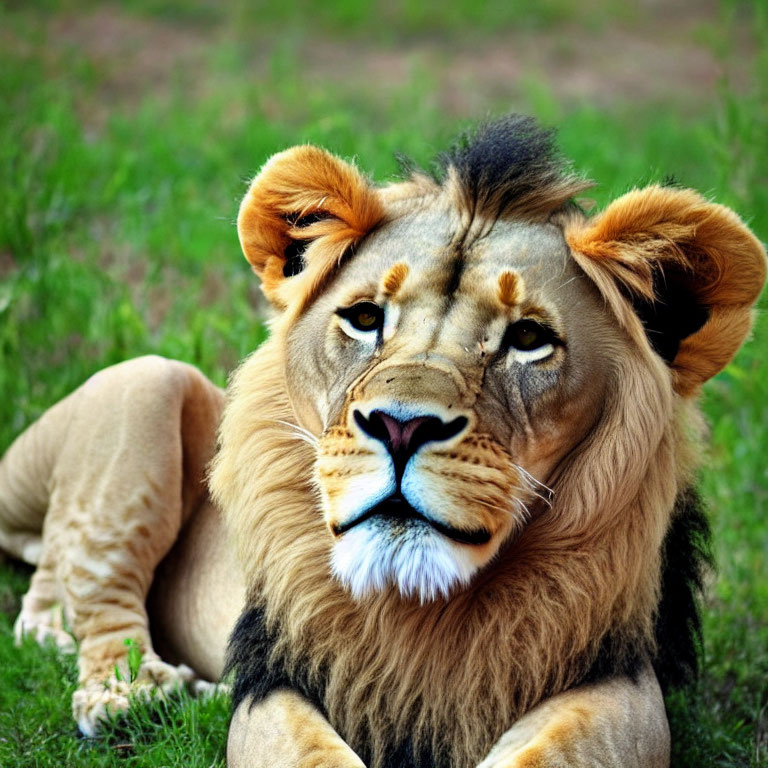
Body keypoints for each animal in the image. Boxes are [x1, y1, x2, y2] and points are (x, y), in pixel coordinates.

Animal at [0, 115, 764, 768]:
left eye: (528, 338)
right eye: (366, 318)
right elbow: (311, 754)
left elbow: (543, 752)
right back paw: (131, 696)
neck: (416, 610)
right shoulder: (277, 677)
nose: (403, 426)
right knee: (91, 596)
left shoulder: (623, 680)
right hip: (144, 382)